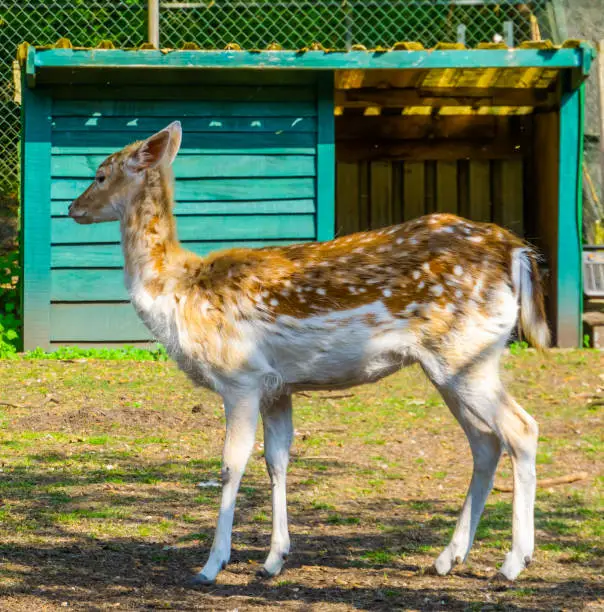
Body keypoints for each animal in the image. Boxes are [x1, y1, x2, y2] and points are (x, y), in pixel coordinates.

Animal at [68, 119, 548, 584]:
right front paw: (272, 560)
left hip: (464, 352)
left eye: (100, 174)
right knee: (486, 441)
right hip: (456, 363)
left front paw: (211, 566)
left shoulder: (239, 377)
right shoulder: (278, 387)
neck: (177, 292)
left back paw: (513, 563)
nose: (73, 209)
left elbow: (230, 466)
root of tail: (514, 251)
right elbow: (276, 462)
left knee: (521, 429)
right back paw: (447, 559)